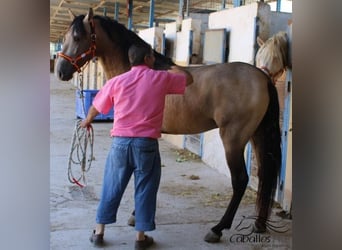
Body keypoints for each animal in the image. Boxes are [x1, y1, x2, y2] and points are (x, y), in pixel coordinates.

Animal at [55, 8, 280, 243]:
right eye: (66, 37)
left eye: (77, 37)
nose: (60, 71)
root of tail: (262, 76)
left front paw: (136, 215)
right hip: (257, 136)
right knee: (264, 176)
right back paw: (259, 224)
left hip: (233, 140)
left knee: (240, 180)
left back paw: (218, 228)